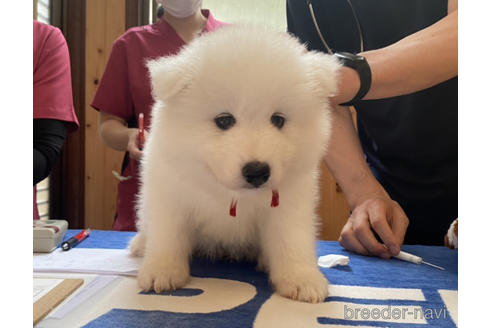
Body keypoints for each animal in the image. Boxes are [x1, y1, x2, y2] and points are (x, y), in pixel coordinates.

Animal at [129, 25, 340, 302]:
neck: (227, 192)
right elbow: (168, 235)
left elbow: (292, 239)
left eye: (278, 120)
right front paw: (162, 271)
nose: (257, 171)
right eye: (224, 120)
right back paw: (140, 245)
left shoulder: (290, 202)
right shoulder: (170, 194)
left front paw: (301, 279)